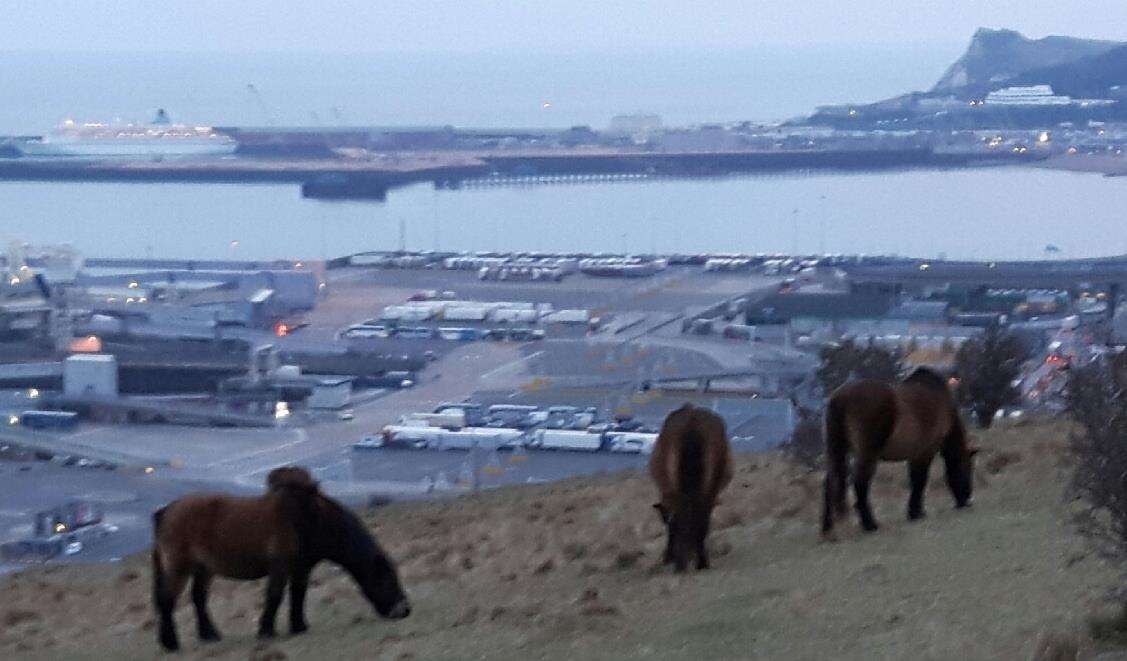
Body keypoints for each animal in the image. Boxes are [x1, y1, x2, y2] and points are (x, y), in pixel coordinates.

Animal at [152, 466, 410, 653]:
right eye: (388, 578)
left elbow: (298, 594)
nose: (404, 610)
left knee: (198, 598)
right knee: (167, 601)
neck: (309, 519)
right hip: (179, 568)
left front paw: (298, 626)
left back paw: (210, 635)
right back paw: (171, 644)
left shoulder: (301, 569)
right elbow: (275, 596)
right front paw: (266, 631)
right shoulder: (280, 567)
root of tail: (166, 511)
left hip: (204, 568)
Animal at [820, 367, 978, 538]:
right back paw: (870, 524)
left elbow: (915, 480)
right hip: (867, 453)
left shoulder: (915, 455)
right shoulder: (925, 453)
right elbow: (920, 481)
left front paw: (916, 512)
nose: (967, 501)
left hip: (837, 449)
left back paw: (827, 529)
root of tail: (840, 397)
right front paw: (915, 513)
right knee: (860, 482)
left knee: (831, 482)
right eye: (967, 469)